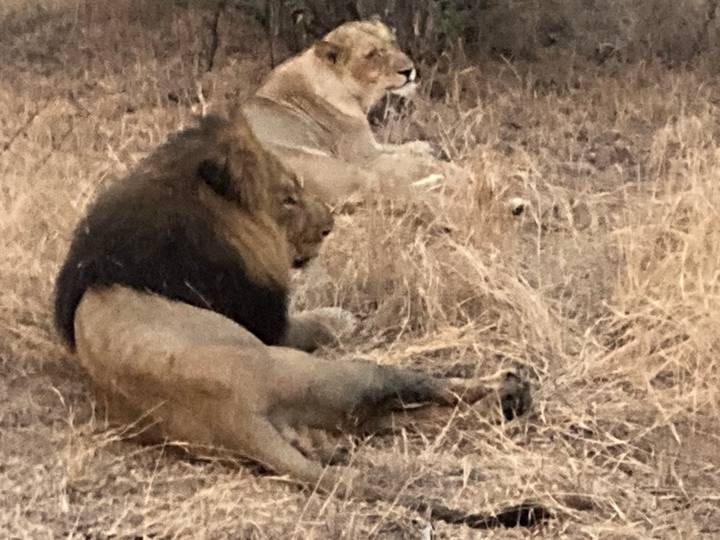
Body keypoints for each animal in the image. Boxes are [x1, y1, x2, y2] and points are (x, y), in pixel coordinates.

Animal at [53, 109, 548, 529]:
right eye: (288, 198)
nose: (330, 225)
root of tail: (236, 417)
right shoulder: (270, 324)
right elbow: (315, 321)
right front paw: (342, 317)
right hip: (334, 375)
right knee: (422, 389)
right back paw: (509, 389)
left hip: (335, 414)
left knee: (403, 419)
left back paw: (506, 401)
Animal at [242, 16, 465, 206]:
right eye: (372, 54)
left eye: (392, 42)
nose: (409, 70)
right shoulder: (365, 156)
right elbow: (410, 161)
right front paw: (446, 167)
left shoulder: (371, 146)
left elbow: (402, 148)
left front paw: (428, 147)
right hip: (332, 164)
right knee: (384, 186)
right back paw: (446, 180)